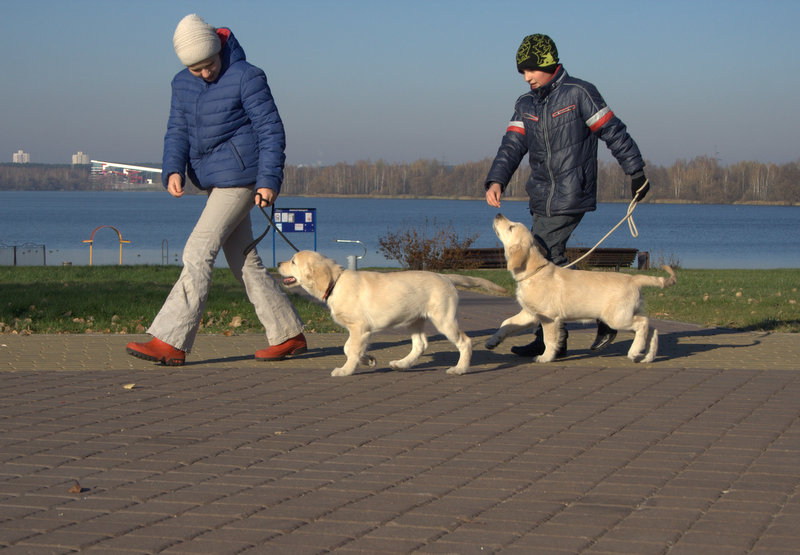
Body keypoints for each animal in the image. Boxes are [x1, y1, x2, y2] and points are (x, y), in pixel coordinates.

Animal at [282, 252, 506, 378]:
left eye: (293, 262)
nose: (278, 264)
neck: (335, 283)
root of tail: (445, 276)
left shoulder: (359, 327)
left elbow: (351, 349)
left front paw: (346, 370)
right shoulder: (361, 331)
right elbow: (349, 348)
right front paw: (368, 359)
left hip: (444, 319)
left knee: (465, 342)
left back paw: (460, 369)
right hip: (415, 319)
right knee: (420, 344)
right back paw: (402, 364)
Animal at [488, 214, 676, 364]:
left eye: (511, 227)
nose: (498, 214)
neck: (534, 272)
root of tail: (633, 278)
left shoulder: (548, 317)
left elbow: (549, 339)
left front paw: (545, 357)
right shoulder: (530, 314)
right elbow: (506, 323)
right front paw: (492, 341)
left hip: (618, 317)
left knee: (643, 324)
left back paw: (634, 351)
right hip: (627, 313)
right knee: (652, 329)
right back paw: (648, 356)